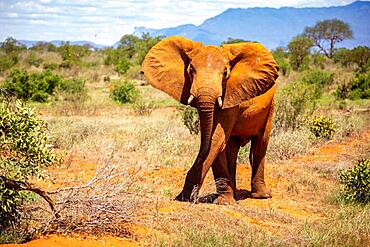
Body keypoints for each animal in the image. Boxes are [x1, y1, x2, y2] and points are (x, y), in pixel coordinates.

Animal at [141, 35, 278, 205]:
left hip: (270, 106)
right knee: (231, 149)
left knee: (260, 144)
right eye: (190, 70)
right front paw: (223, 201)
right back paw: (235, 194)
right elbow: (216, 141)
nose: (187, 197)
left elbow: (216, 138)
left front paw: (191, 197)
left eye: (225, 73)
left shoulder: (231, 93)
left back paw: (261, 196)